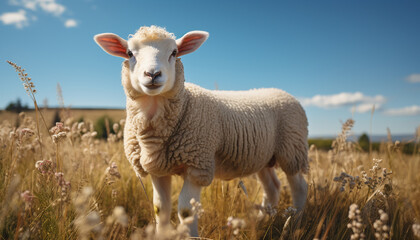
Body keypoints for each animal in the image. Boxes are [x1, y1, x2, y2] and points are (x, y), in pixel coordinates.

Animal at [93, 25, 306, 237]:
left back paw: (295, 222)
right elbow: (160, 208)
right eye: (130, 53)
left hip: (293, 150)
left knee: (300, 187)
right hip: (264, 157)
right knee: (272, 188)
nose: (152, 74)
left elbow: (186, 211)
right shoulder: (157, 169)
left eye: (174, 52)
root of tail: (281, 91)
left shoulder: (197, 165)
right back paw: (263, 220)